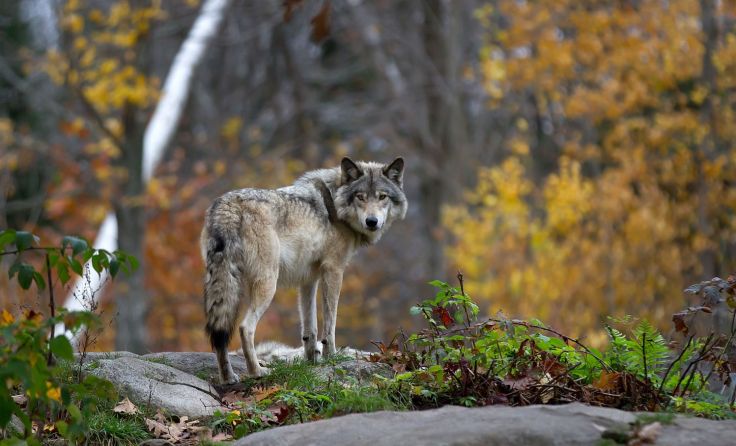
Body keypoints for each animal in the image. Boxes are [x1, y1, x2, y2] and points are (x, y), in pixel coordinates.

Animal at [201, 157, 407, 383]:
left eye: (382, 197)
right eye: (360, 197)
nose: (372, 222)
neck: (335, 204)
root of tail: (228, 205)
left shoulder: (308, 280)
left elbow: (310, 328)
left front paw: (312, 361)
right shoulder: (334, 270)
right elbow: (330, 324)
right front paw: (331, 357)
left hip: (224, 284)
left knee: (219, 335)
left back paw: (228, 377)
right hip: (268, 284)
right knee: (245, 328)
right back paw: (257, 372)